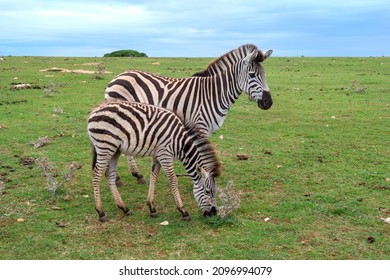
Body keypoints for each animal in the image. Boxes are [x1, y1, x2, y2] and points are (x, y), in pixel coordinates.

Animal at [89, 99, 222, 222]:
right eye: (208, 191)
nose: (213, 213)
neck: (180, 142)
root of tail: (94, 111)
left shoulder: (157, 156)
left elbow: (154, 178)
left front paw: (151, 207)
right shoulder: (165, 155)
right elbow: (173, 180)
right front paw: (183, 211)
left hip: (114, 150)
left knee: (110, 175)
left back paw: (124, 208)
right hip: (105, 147)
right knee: (96, 176)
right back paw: (101, 212)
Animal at [105, 44, 272, 186]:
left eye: (264, 75)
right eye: (252, 75)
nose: (268, 102)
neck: (213, 93)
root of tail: (118, 77)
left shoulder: (207, 129)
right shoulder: (200, 126)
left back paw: (133, 175)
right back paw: (121, 178)